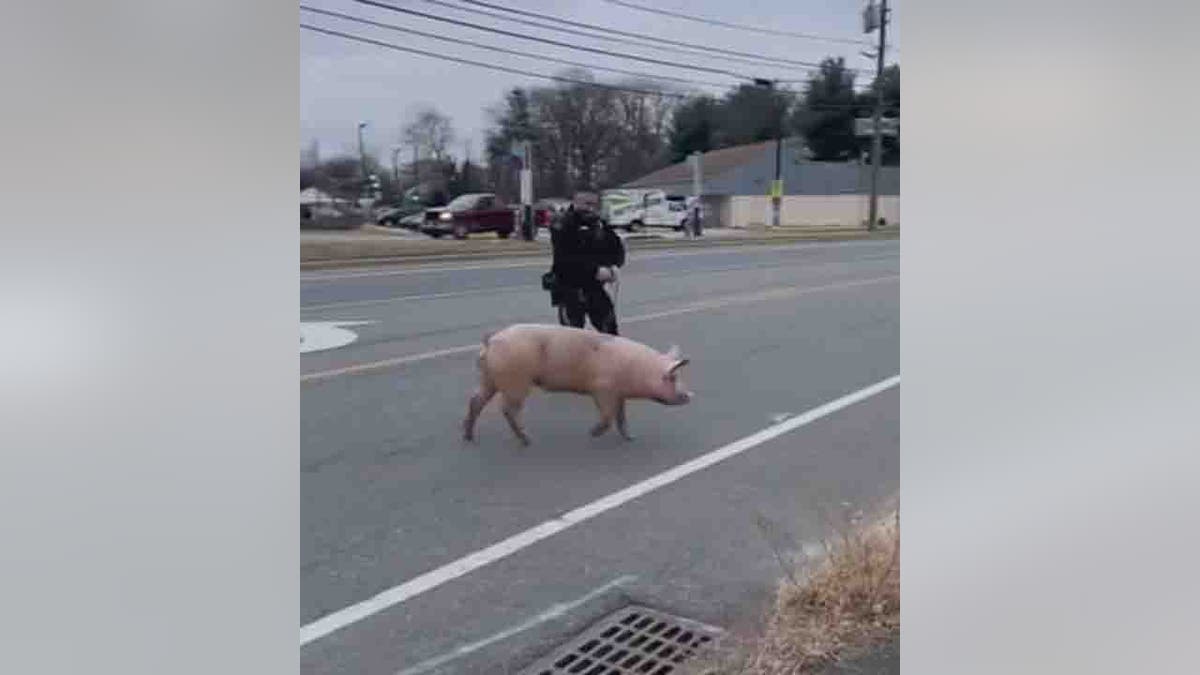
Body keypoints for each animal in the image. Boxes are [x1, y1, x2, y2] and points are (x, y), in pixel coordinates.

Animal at [465, 324, 696, 444]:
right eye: (672, 378)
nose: (690, 395)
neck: (637, 370)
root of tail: (491, 340)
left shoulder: (619, 394)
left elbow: (621, 417)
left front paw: (631, 437)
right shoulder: (602, 389)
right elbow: (608, 416)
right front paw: (592, 433)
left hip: (488, 377)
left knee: (476, 399)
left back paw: (468, 437)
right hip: (516, 380)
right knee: (507, 409)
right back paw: (528, 440)